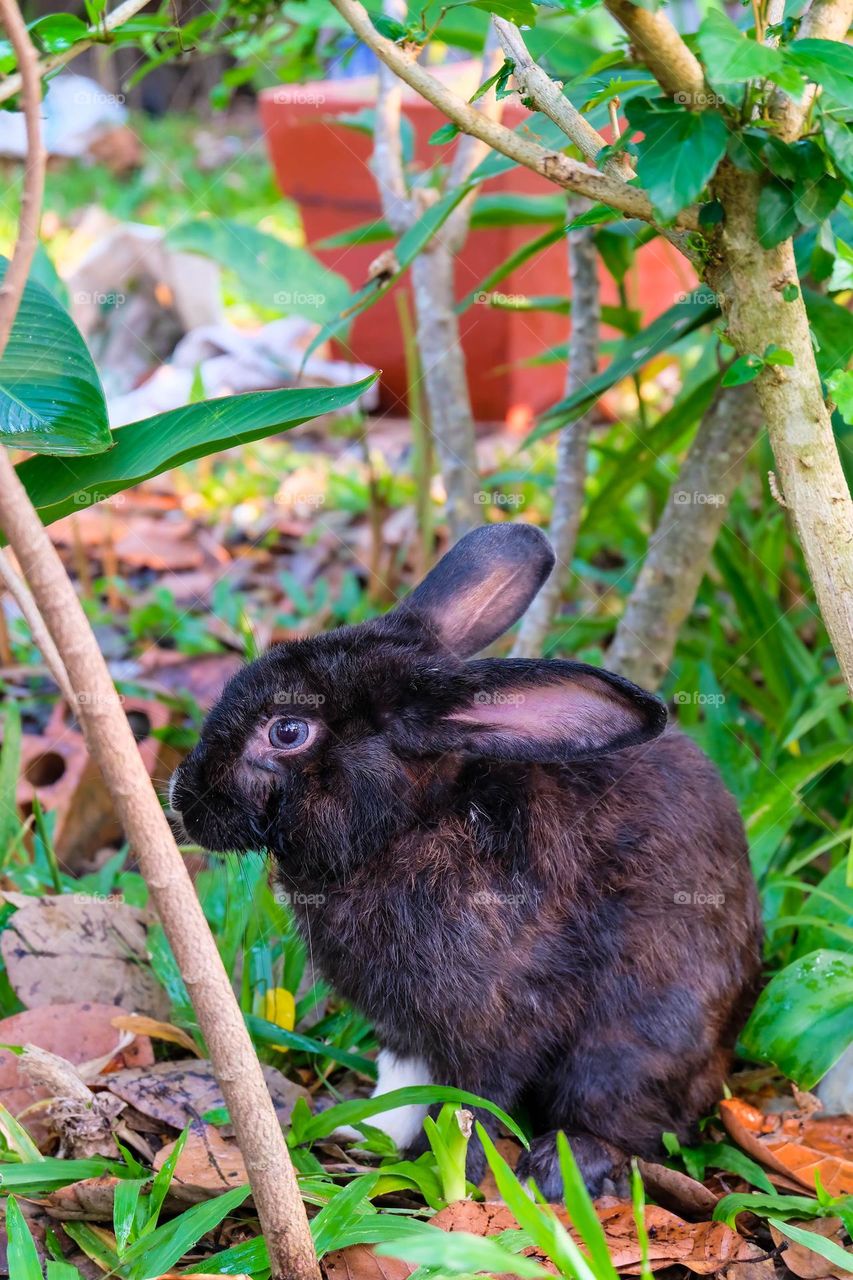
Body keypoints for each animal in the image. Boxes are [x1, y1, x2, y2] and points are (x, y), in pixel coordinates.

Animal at [169, 522, 758, 1198]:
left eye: (287, 732)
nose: (180, 796)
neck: (411, 823)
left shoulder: (506, 1016)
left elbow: (474, 1100)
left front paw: (456, 1177)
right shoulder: (406, 1031)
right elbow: (404, 1078)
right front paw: (372, 1138)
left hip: (632, 1044)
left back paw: (560, 1166)